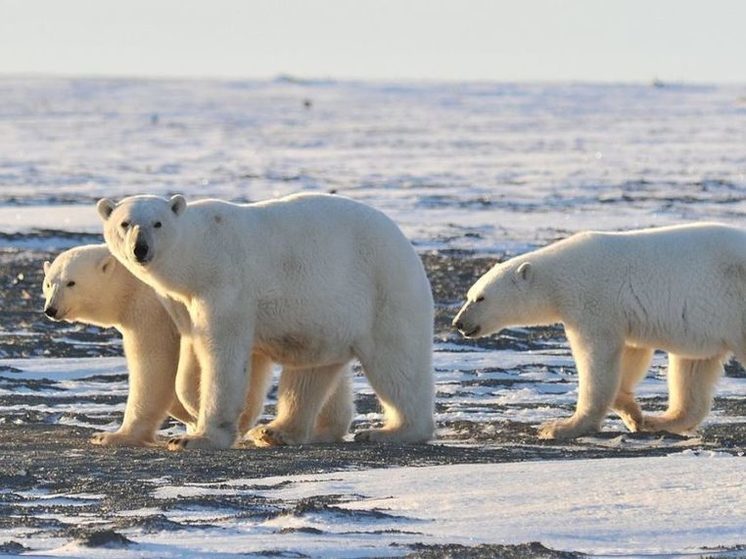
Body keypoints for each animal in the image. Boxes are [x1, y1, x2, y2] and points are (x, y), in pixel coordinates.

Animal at [43, 247, 352, 448]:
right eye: (48, 283)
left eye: (71, 282)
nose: (51, 309)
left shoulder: (153, 310)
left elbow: (155, 366)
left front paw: (113, 436)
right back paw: (323, 430)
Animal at [96, 192, 434, 450]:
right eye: (125, 223)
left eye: (158, 223)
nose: (141, 249)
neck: (200, 256)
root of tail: (406, 246)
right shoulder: (181, 303)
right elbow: (190, 354)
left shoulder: (226, 287)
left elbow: (223, 354)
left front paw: (198, 437)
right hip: (327, 320)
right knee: (311, 373)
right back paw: (276, 430)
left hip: (384, 291)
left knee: (397, 364)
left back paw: (391, 431)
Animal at [450, 224, 740, 442]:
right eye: (468, 295)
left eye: (481, 298)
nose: (458, 323)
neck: (560, 275)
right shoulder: (627, 313)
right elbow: (631, 353)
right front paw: (634, 414)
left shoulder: (592, 301)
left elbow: (597, 357)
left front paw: (560, 427)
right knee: (693, 369)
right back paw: (659, 421)